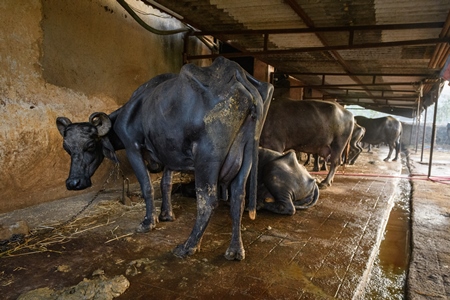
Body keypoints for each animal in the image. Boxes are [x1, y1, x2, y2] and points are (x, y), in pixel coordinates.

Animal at [56, 56, 274, 260]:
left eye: (91, 146)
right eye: (67, 148)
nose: (73, 183)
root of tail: (236, 73)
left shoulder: (132, 147)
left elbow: (147, 186)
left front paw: (148, 222)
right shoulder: (169, 151)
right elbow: (165, 184)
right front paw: (166, 214)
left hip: (207, 159)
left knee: (208, 201)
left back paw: (188, 246)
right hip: (246, 159)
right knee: (238, 198)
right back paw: (235, 249)